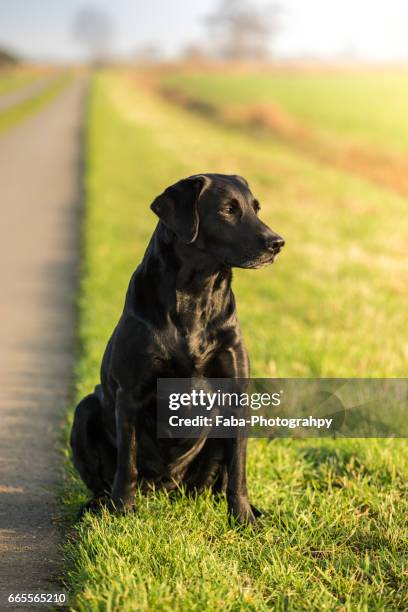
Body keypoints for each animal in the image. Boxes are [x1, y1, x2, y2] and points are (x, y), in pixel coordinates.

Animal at [70, 175, 284, 524]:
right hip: (85, 409)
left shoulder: (237, 395)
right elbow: (126, 465)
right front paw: (122, 511)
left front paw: (242, 519)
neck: (196, 293)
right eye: (228, 210)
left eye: (256, 208)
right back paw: (99, 505)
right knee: (102, 480)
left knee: (217, 481)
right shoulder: (129, 394)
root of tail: (166, 488)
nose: (278, 242)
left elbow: (238, 471)